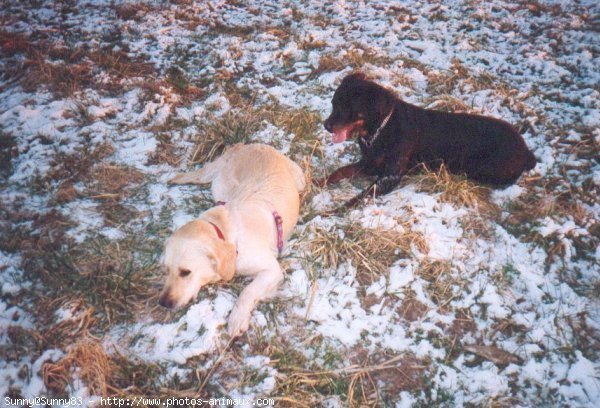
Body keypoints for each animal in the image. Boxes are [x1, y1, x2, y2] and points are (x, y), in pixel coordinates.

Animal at [158, 145, 304, 336]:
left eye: (185, 272)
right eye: (166, 270)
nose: (163, 303)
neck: (227, 233)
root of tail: (250, 145)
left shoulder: (272, 269)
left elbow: (248, 291)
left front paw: (237, 318)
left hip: (300, 180)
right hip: (218, 185)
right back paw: (175, 178)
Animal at [316, 72, 536, 209]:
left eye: (348, 108)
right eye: (334, 103)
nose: (326, 125)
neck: (380, 129)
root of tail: (527, 152)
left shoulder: (389, 176)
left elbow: (361, 196)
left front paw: (335, 210)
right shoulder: (369, 163)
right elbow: (340, 171)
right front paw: (317, 182)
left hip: (485, 167)